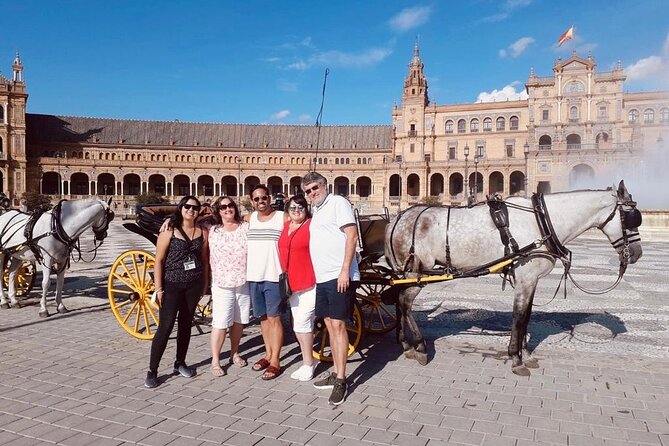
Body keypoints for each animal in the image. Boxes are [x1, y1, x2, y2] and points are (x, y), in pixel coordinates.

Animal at [386, 181, 640, 376]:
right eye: (631, 218)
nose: (637, 253)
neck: (542, 221)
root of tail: (396, 219)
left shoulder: (532, 281)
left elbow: (527, 317)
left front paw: (525, 354)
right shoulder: (525, 280)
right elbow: (518, 319)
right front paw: (516, 360)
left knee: (398, 299)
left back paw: (404, 343)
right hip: (417, 272)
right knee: (405, 303)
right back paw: (419, 346)